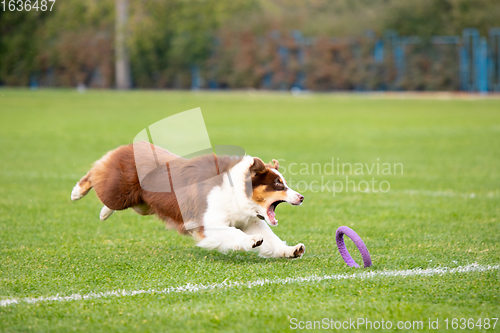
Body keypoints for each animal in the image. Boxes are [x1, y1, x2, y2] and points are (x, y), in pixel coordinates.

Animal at [70, 141, 304, 258]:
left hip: (142, 204)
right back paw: (77, 191)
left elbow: (272, 239)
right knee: (96, 174)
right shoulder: (207, 224)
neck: (237, 192)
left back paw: (103, 212)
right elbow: (234, 233)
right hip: (119, 190)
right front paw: (251, 241)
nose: (301, 197)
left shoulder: (250, 220)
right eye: (278, 184)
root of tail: (130, 146)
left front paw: (291, 250)